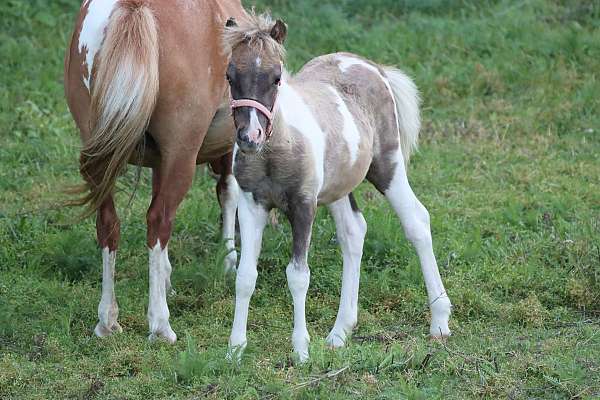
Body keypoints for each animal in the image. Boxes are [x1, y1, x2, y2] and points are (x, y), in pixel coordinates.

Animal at [63, 0, 244, 344]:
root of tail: (135, 7)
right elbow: (228, 192)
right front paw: (229, 260)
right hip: (181, 152)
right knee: (159, 220)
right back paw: (160, 324)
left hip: (99, 154)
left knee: (108, 223)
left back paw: (107, 321)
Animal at [223, 14, 452, 360]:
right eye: (230, 76)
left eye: (276, 78)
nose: (250, 137)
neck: (278, 148)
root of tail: (371, 66)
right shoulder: (252, 205)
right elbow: (245, 276)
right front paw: (235, 350)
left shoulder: (303, 206)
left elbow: (298, 276)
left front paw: (300, 350)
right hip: (338, 187)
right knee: (354, 231)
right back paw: (340, 331)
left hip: (388, 166)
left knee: (416, 221)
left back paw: (439, 321)